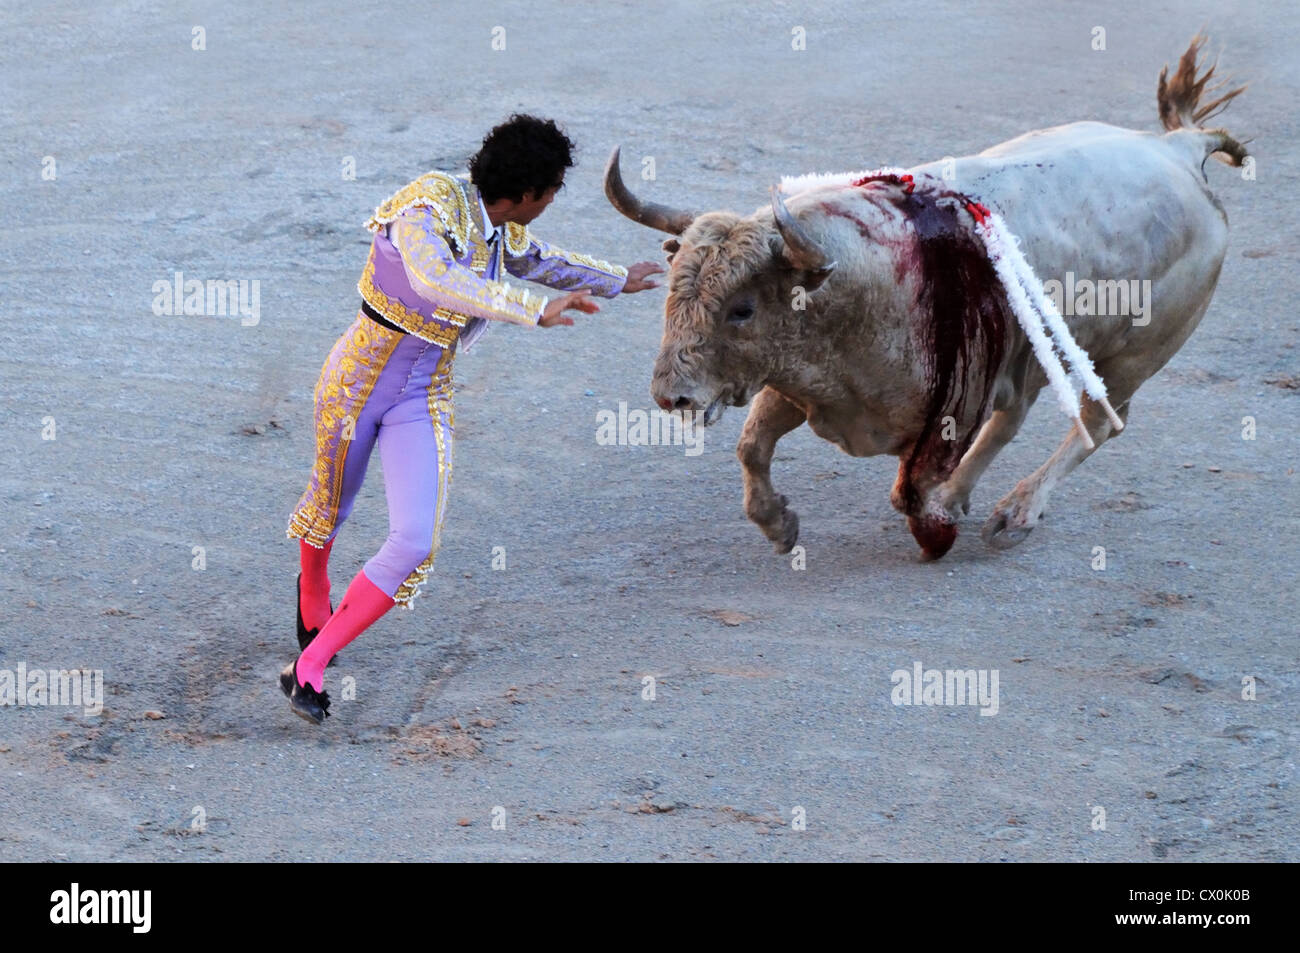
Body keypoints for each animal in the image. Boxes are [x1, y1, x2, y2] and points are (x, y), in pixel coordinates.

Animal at [605, 35, 1248, 556]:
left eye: (741, 309)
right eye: (671, 300)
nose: (671, 396)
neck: (860, 284)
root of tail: (1181, 148)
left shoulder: (951, 403)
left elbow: (912, 487)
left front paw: (934, 520)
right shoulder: (796, 377)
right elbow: (752, 446)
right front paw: (780, 526)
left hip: (1134, 357)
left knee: (1100, 420)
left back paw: (1016, 512)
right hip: (1031, 357)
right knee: (1016, 417)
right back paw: (970, 500)